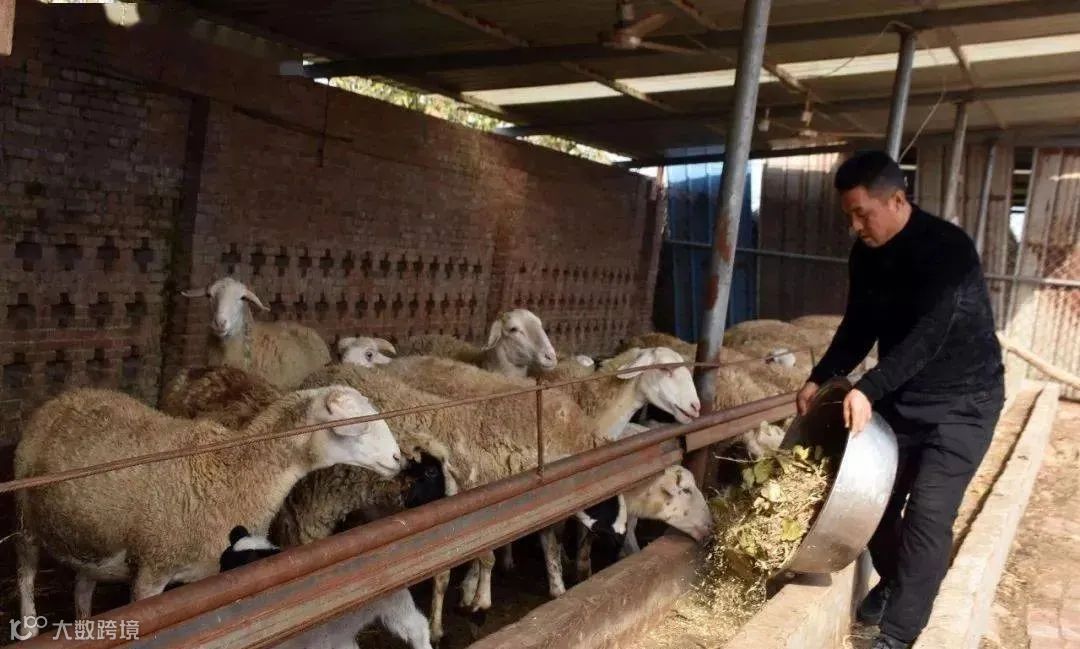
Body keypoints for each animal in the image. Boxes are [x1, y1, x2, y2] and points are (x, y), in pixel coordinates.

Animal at [14, 385, 402, 632]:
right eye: (357, 424)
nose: (400, 458)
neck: (231, 470)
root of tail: (64, 397)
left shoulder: (208, 581)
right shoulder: (153, 570)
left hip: (94, 532)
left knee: (82, 587)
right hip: (26, 523)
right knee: (25, 577)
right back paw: (30, 628)